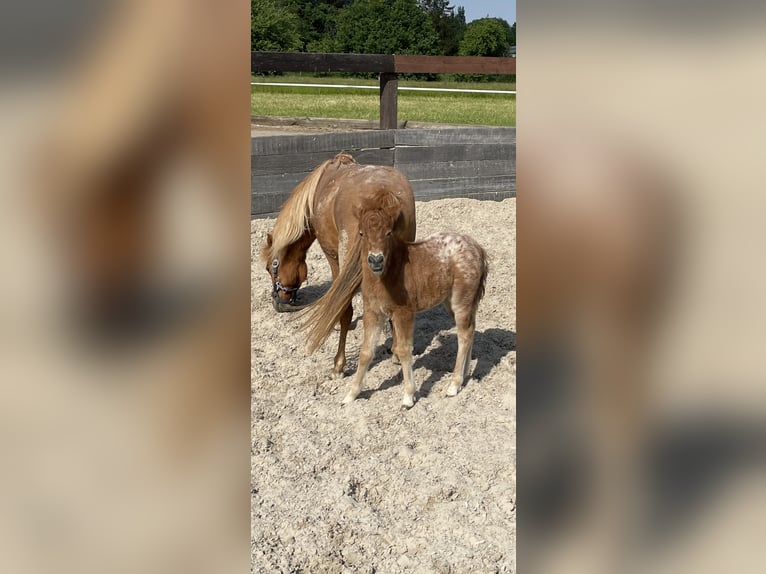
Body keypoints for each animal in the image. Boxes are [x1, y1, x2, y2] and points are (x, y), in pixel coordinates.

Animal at [266, 155, 420, 378]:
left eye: (270, 268)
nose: (278, 304)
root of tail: (383, 192)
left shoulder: (333, 258)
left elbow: (340, 306)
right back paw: (397, 352)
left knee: (345, 309)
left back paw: (339, 363)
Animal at [304, 190, 488, 410]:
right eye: (361, 233)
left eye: (389, 233)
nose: (375, 260)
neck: (389, 274)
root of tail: (477, 248)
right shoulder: (373, 312)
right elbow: (366, 352)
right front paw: (351, 395)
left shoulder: (403, 313)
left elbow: (403, 349)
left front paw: (408, 397)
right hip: (452, 302)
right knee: (471, 329)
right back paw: (465, 374)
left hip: (461, 301)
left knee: (464, 335)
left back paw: (454, 384)